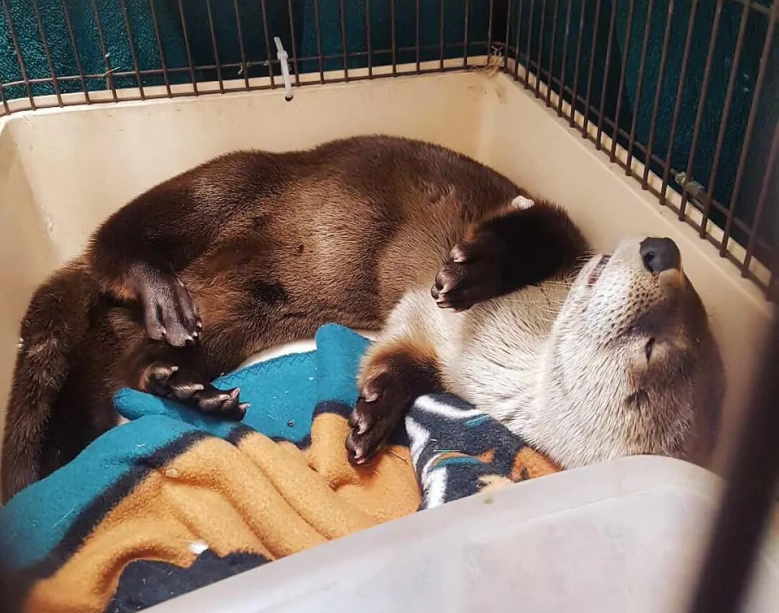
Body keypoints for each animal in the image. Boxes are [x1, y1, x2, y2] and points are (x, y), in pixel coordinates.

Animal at [0, 135, 724, 503]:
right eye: (682, 304)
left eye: (654, 346)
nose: (662, 249)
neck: (502, 339)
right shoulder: (557, 234)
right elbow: (535, 226)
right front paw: (470, 270)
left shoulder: (432, 350)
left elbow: (395, 358)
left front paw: (372, 416)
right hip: (224, 182)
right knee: (118, 238)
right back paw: (159, 294)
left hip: (236, 317)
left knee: (119, 378)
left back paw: (183, 387)